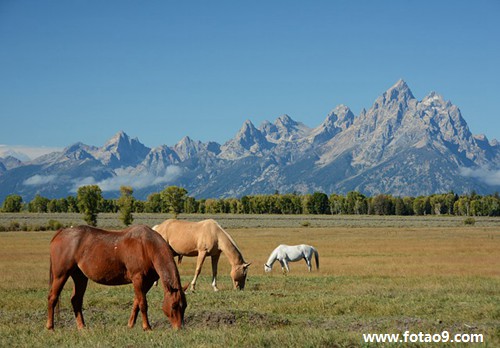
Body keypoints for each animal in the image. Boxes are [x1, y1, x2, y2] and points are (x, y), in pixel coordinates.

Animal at [46, 224, 188, 330]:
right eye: (174, 306)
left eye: (185, 306)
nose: (179, 328)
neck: (147, 246)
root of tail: (61, 232)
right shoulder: (138, 279)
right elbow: (143, 303)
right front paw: (147, 327)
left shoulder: (147, 282)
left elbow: (136, 302)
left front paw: (130, 325)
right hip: (61, 275)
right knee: (52, 298)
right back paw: (50, 327)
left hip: (80, 277)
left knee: (76, 300)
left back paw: (82, 327)